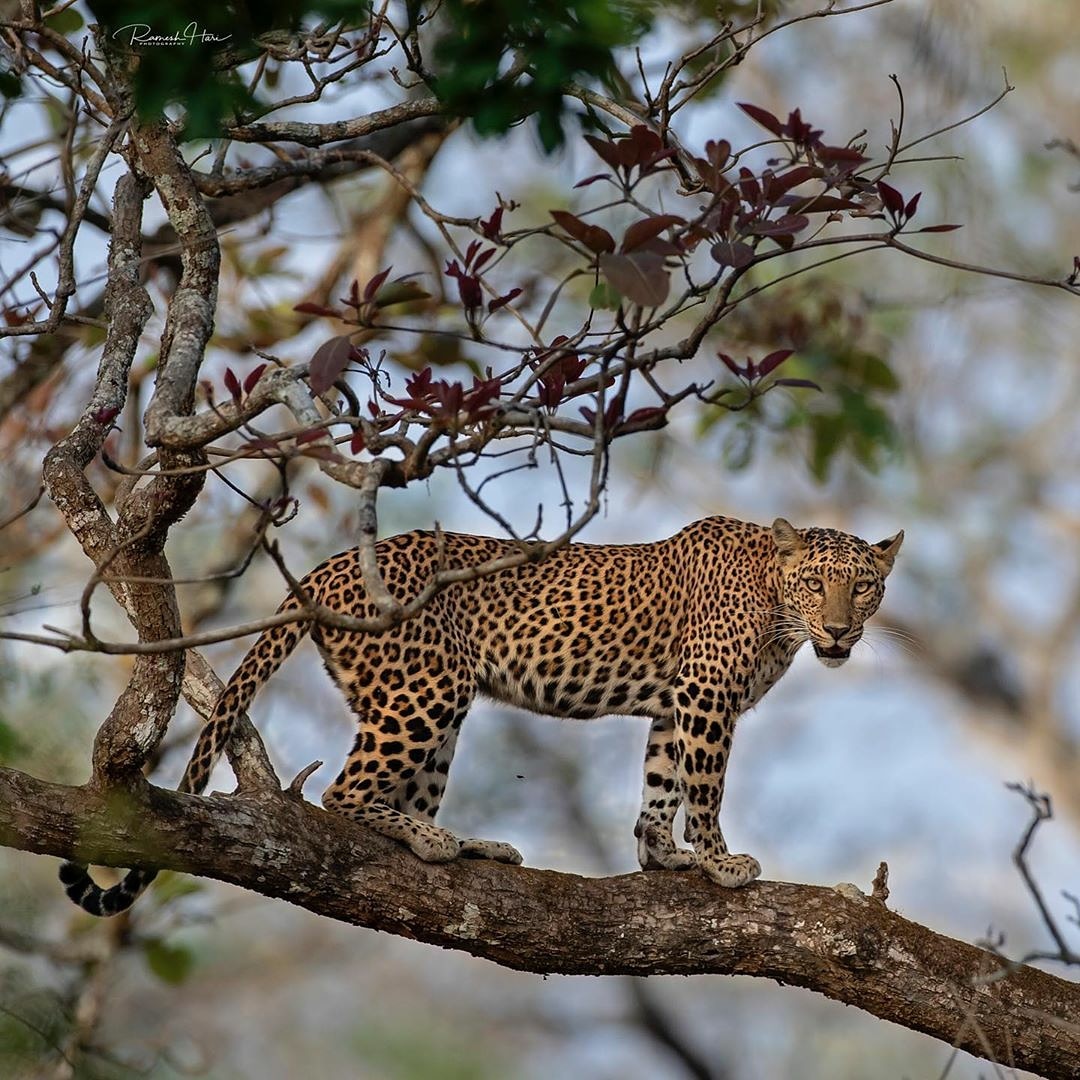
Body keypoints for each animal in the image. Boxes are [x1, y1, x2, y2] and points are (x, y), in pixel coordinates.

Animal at [59, 514, 902, 911]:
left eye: (863, 586)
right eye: (818, 583)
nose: (839, 631)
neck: (777, 611)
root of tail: (325, 570)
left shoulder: (676, 703)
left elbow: (661, 783)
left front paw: (664, 856)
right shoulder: (705, 696)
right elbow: (705, 786)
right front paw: (722, 860)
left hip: (431, 706)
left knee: (395, 790)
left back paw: (464, 843)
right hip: (427, 690)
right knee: (343, 791)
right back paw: (434, 841)